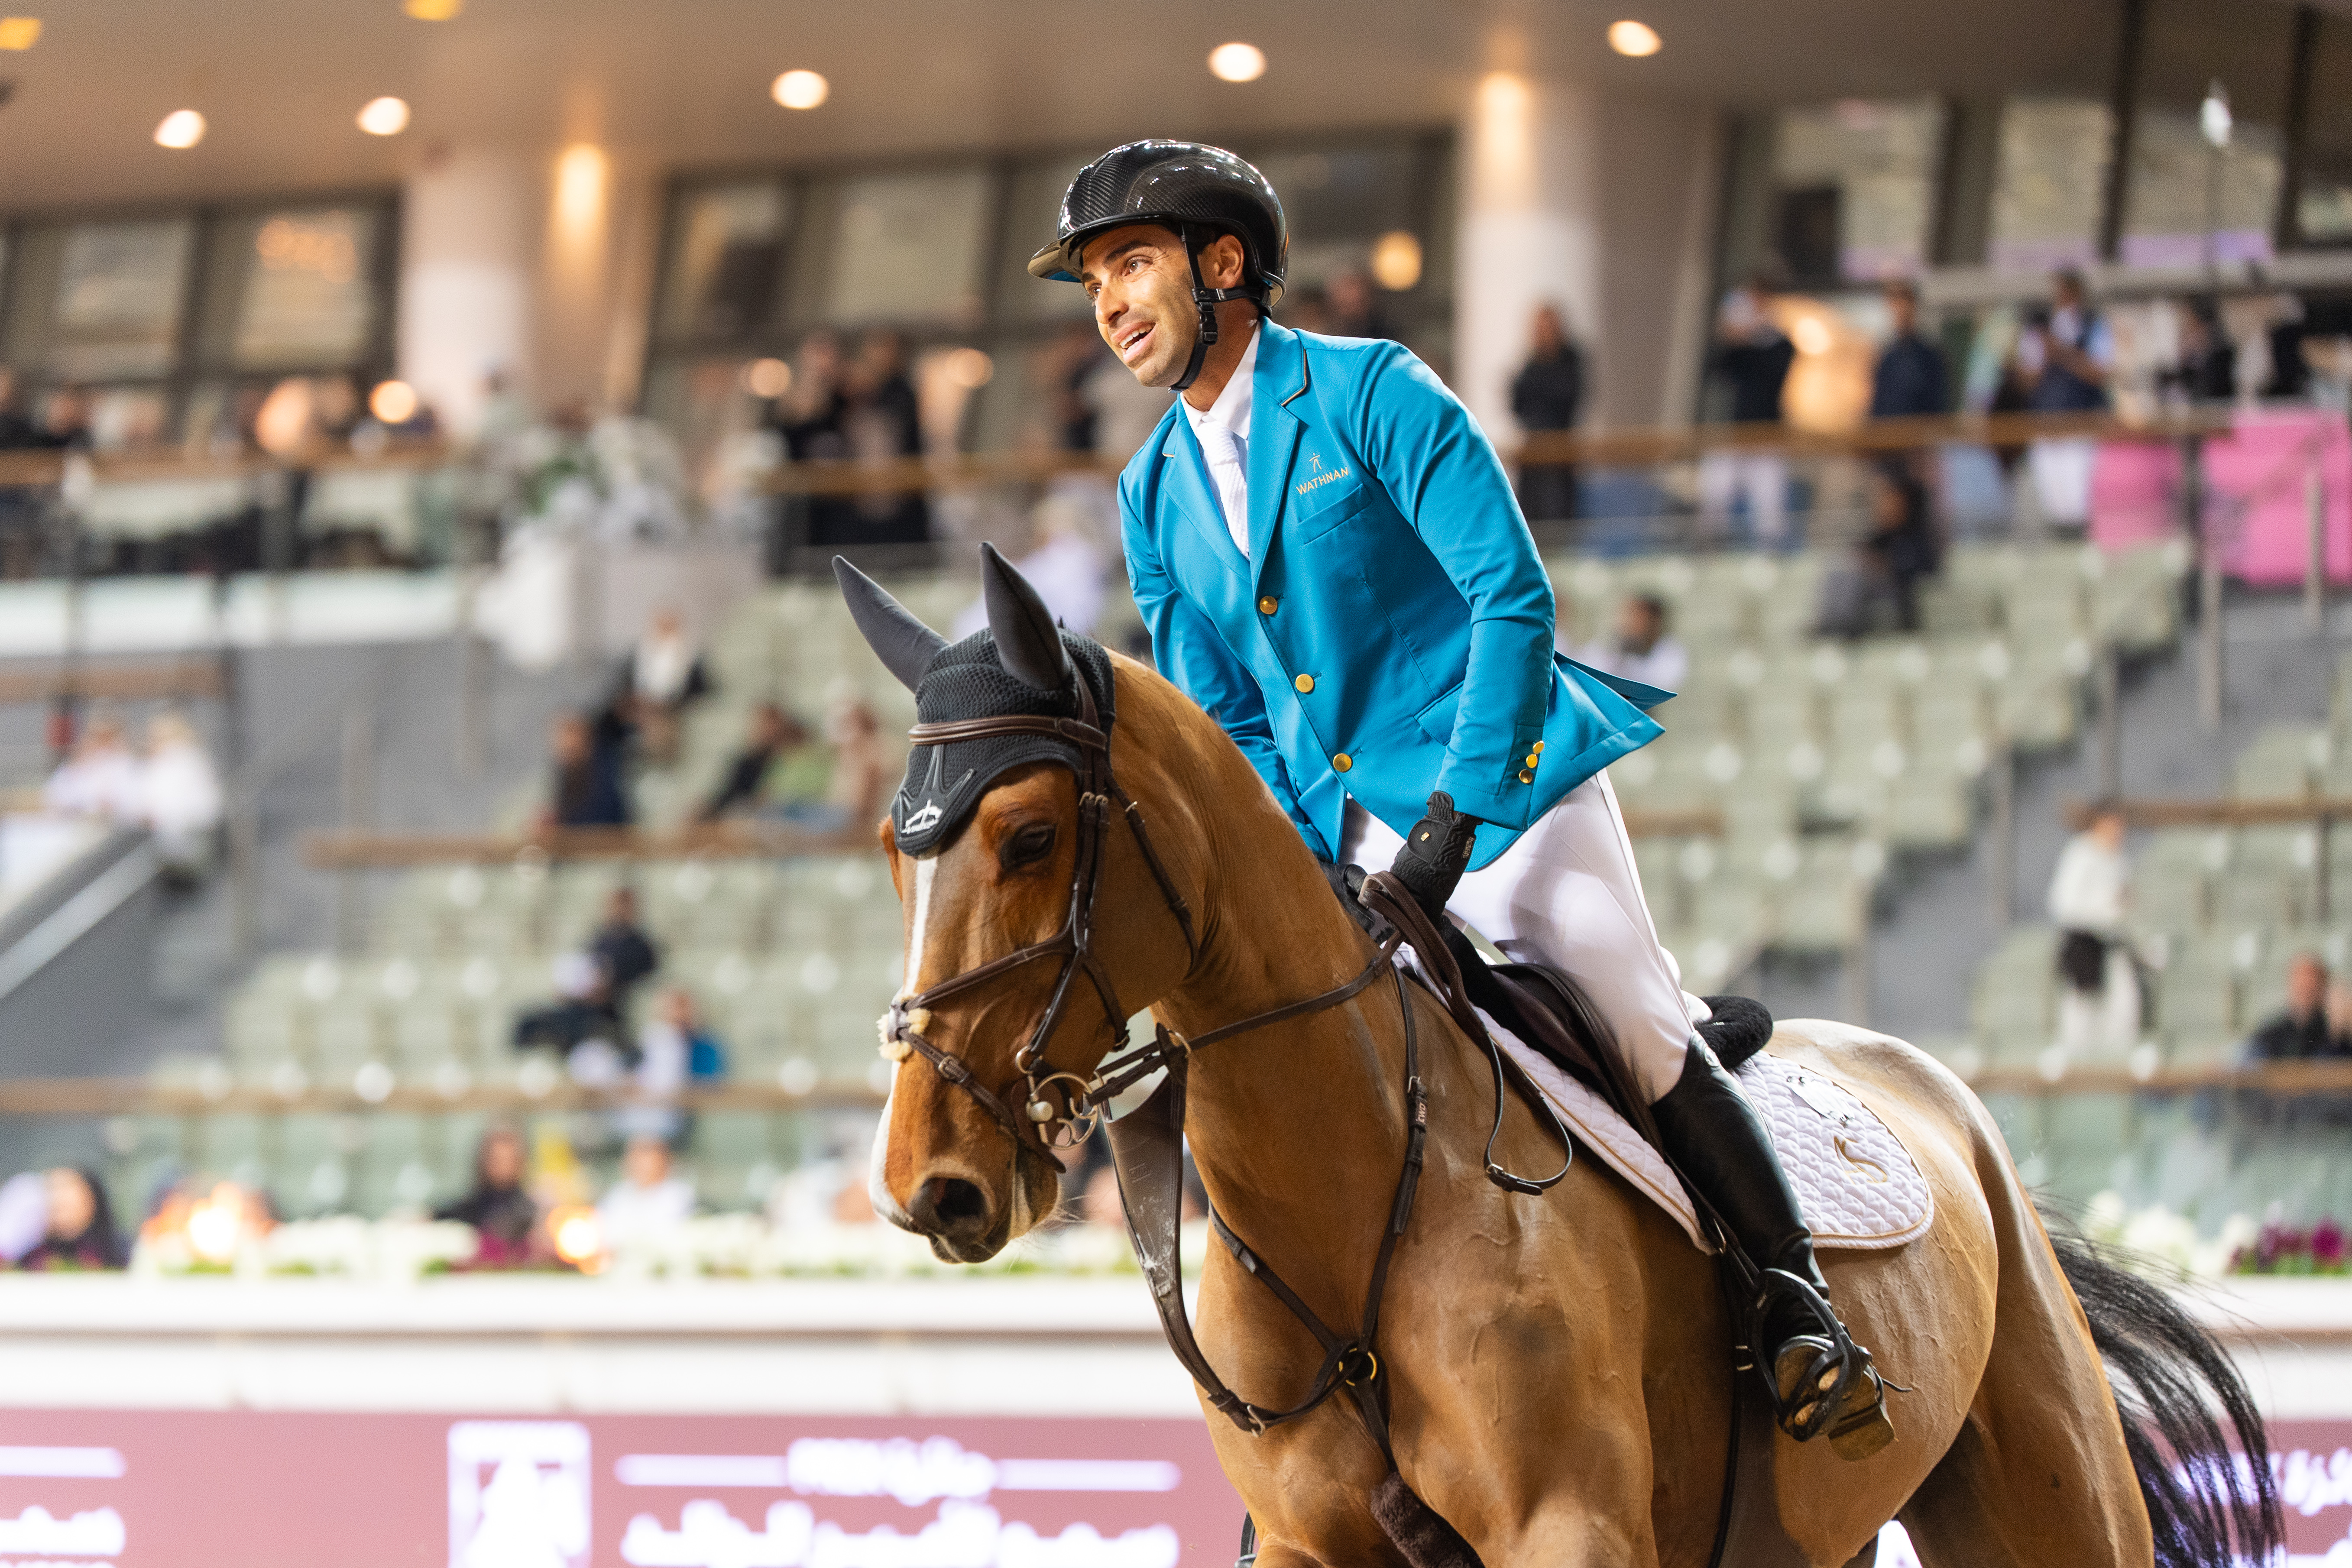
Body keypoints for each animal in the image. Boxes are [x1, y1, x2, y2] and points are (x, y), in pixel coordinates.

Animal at [846, 551, 2279, 1568]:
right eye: (891, 855)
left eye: (1030, 837)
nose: (929, 1184)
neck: (1360, 1193)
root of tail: (1943, 1102)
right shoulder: (1310, 1546)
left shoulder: (1568, 1531)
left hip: (2050, 1497)